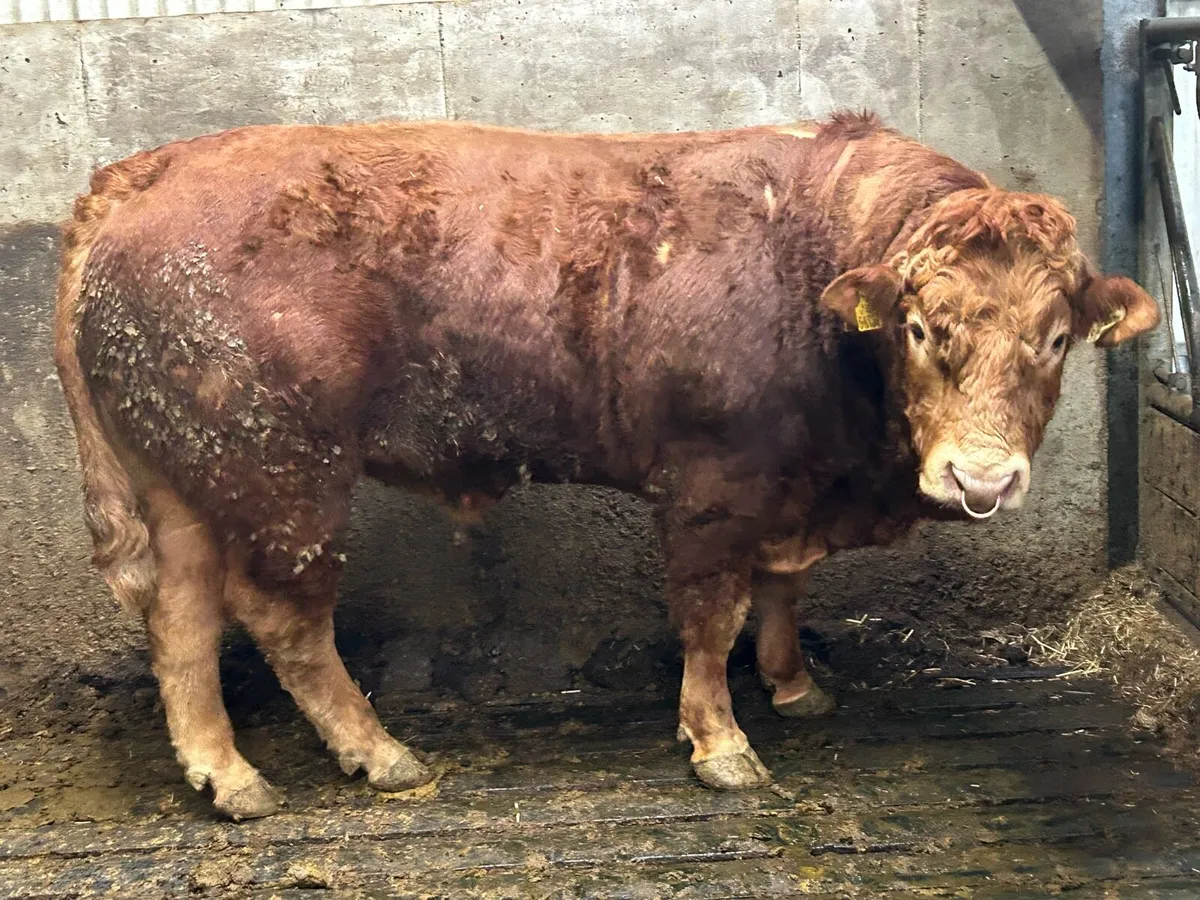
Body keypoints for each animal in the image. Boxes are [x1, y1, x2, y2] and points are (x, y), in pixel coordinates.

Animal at [54, 111, 1159, 820]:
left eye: (1057, 339)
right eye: (924, 327)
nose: (982, 480)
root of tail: (139, 174)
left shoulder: (787, 487)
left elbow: (782, 590)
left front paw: (794, 686)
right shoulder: (714, 488)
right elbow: (712, 615)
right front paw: (721, 744)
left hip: (185, 481)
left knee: (182, 621)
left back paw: (227, 776)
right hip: (285, 478)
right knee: (284, 620)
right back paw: (379, 754)